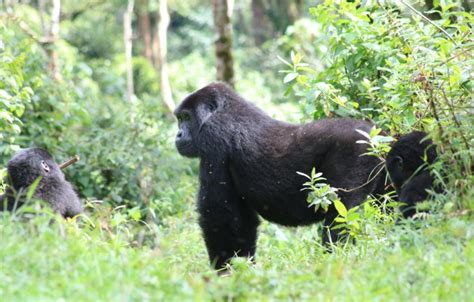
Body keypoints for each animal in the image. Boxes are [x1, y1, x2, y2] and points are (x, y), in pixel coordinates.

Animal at [174, 82, 386, 268]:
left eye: (186, 117)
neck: (223, 109)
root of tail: (377, 134)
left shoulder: (213, 137)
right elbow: (240, 221)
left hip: (356, 150)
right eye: (179, 118)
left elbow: (219, 214)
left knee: (341, 213)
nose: (178, 135)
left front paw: (225, 271)